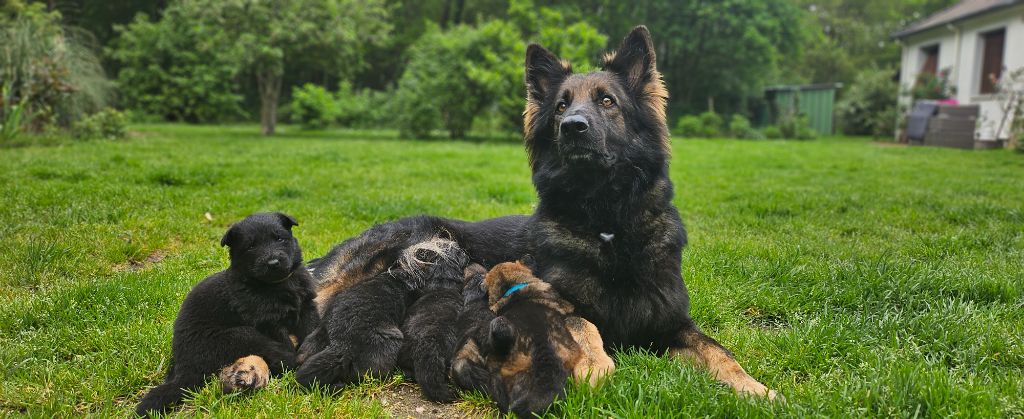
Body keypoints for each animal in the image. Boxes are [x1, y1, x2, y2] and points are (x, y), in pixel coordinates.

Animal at [136, 212, 317, 413]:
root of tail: (185, 367)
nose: (273, 263)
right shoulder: (269, 322)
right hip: (239, 335)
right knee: (275, 354)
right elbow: (285, 342)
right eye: (251, 246)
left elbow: (311, 328)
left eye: (279, 238)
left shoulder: (306, 306)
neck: (276, 285)